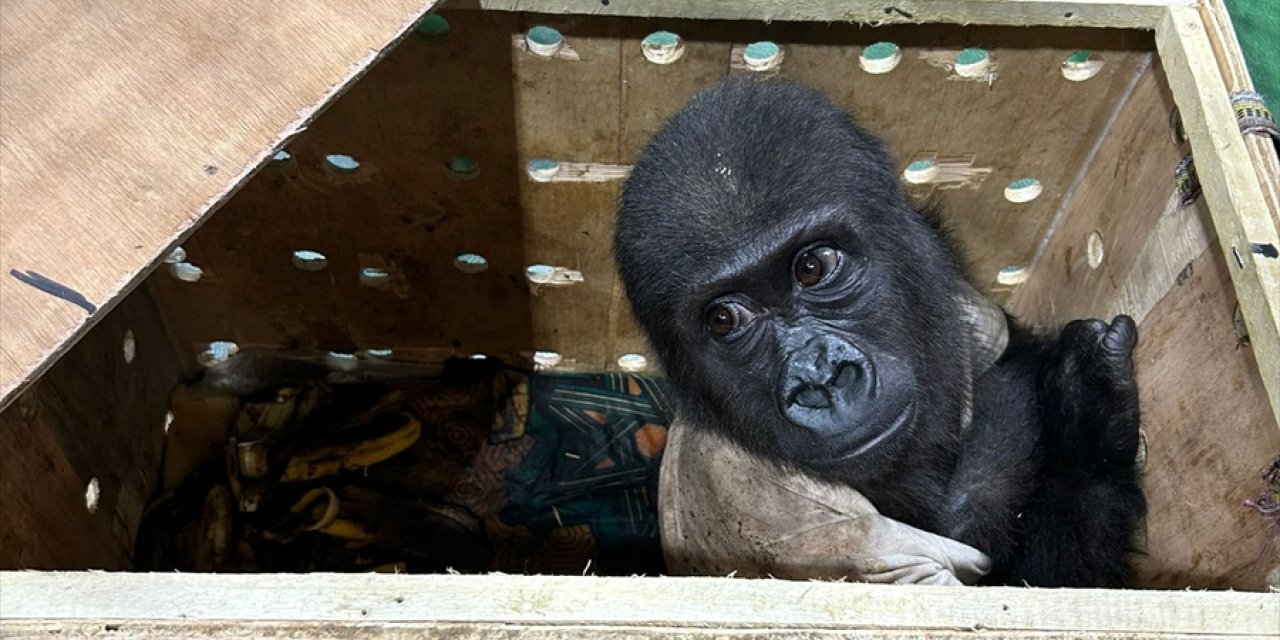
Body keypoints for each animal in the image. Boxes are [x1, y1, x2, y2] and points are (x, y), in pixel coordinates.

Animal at [614, 77, 1146, 586]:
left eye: (812, 267)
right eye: (725, 319)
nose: (820, 378)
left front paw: (1081, 403)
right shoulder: (811, 526)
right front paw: (1087, 427)